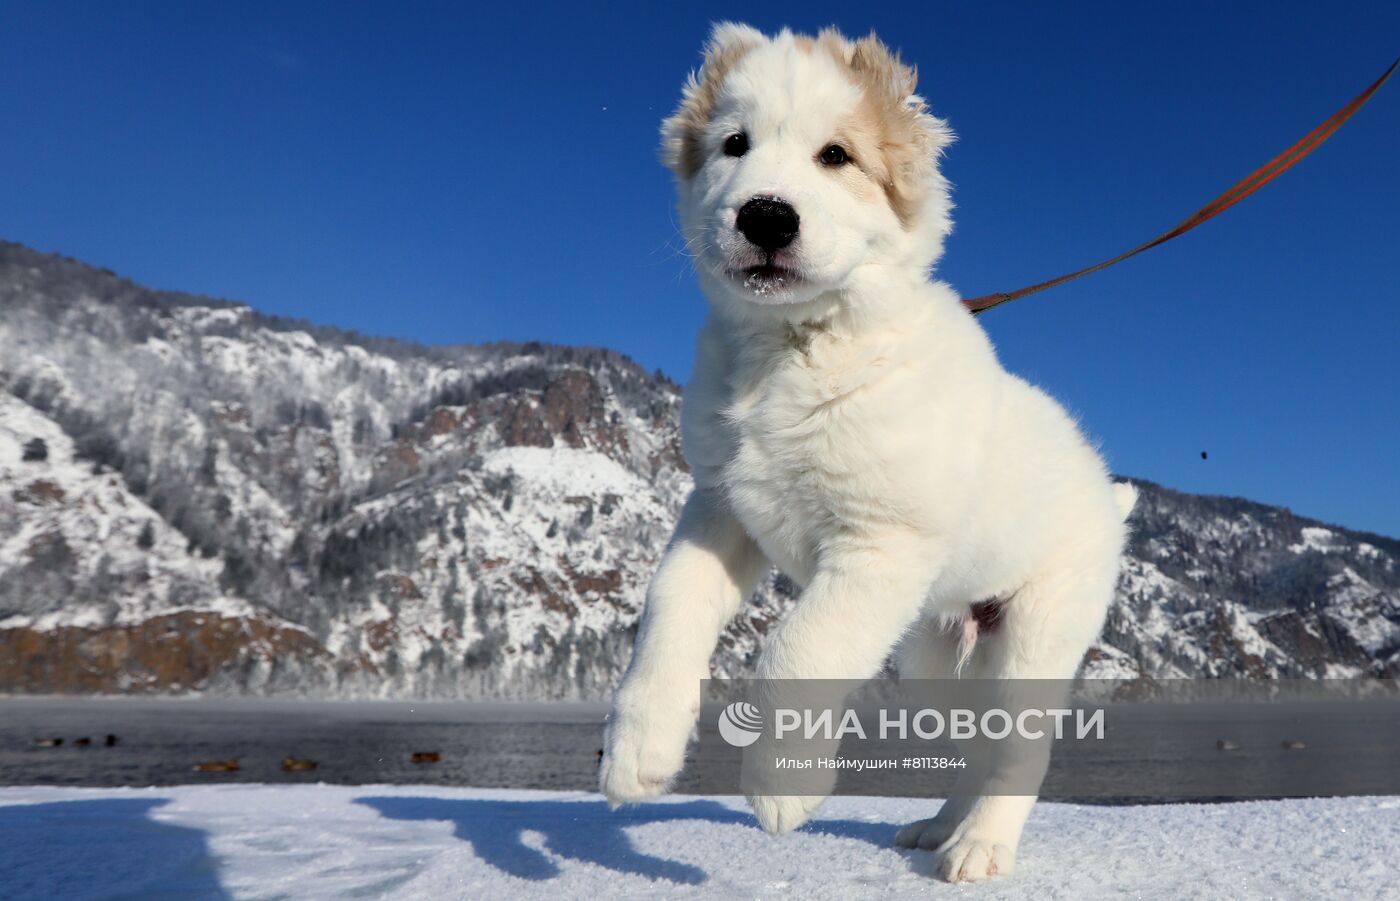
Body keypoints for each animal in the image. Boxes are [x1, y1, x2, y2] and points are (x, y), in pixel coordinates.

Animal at [602, 24, 1136, 884]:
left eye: (837, 156)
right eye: (734, 144)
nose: (766, 217)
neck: (798, 348)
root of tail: (1106, 493)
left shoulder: (879, 543)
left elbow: (797, 647)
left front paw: (781, 786)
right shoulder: (721, 511)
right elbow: (669, 605)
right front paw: (637, 751)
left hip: (1037, 635)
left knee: (1020, 752)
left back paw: (981, 846)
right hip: (936, 653)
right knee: (974, 745)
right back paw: (940, 827)